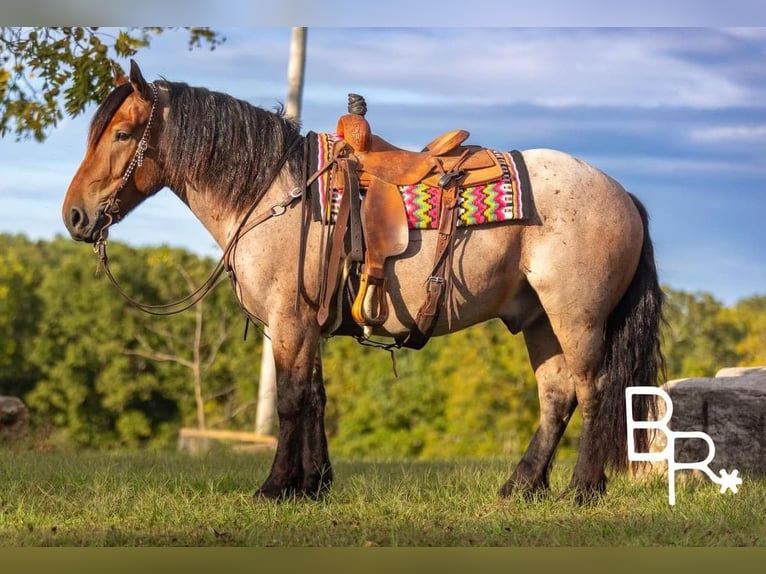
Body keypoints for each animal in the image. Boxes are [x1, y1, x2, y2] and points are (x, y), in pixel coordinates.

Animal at [61, 60, 664, 506]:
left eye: (121, 133)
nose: (75, 216)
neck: (274, 192)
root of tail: (622, 193)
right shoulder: (308, 324)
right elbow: (316, 397)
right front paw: (314, 485)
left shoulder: (288, 321)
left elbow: (290, 400)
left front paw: (275, 487)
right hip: (538, 319)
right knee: (556, 396)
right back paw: (522, 486)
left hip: (576, 317)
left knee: (594, 390)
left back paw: (583, 489)